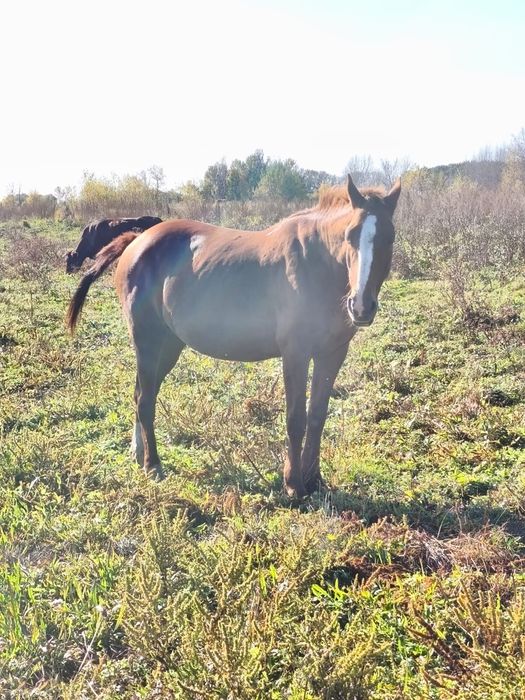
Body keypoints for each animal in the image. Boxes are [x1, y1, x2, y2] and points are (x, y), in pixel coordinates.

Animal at [67, 175, 401, 497]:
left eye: (390, 237)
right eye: (350, 235)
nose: (361, 306)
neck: (317, 265)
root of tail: (137, 241)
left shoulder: (332, 353)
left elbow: (317, 416)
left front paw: (314, 480)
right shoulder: (296, 353)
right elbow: (296, 418)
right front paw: (293, 485)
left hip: (168, 346)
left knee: (140, 395)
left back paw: (138, 453)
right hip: (148, 341)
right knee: (145, 399)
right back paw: (153, 465)